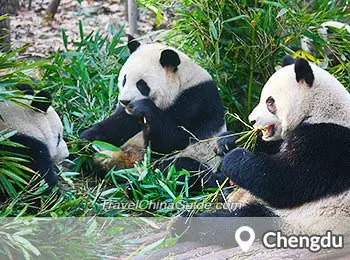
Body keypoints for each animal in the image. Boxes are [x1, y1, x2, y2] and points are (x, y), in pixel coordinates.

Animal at [80, 36, 227, 191]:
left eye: (141, 84)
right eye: (124, 79)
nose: (124, 101)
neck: (182, 83)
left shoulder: (195, 101)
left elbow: (171, 141)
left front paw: (144, 107)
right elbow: (118, 125)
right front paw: (85, 139)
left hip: (199, 156)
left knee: (179, 169)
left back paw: (136, 184)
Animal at [175, 57, 350, 246]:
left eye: (270, 101)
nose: (252, 120)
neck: (319, 109)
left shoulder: (327, 143)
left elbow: (284, 180)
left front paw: (233, 158)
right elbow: (270, 147)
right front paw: (227, 142)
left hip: (299, 221)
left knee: (241, 221)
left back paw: (185, 224)